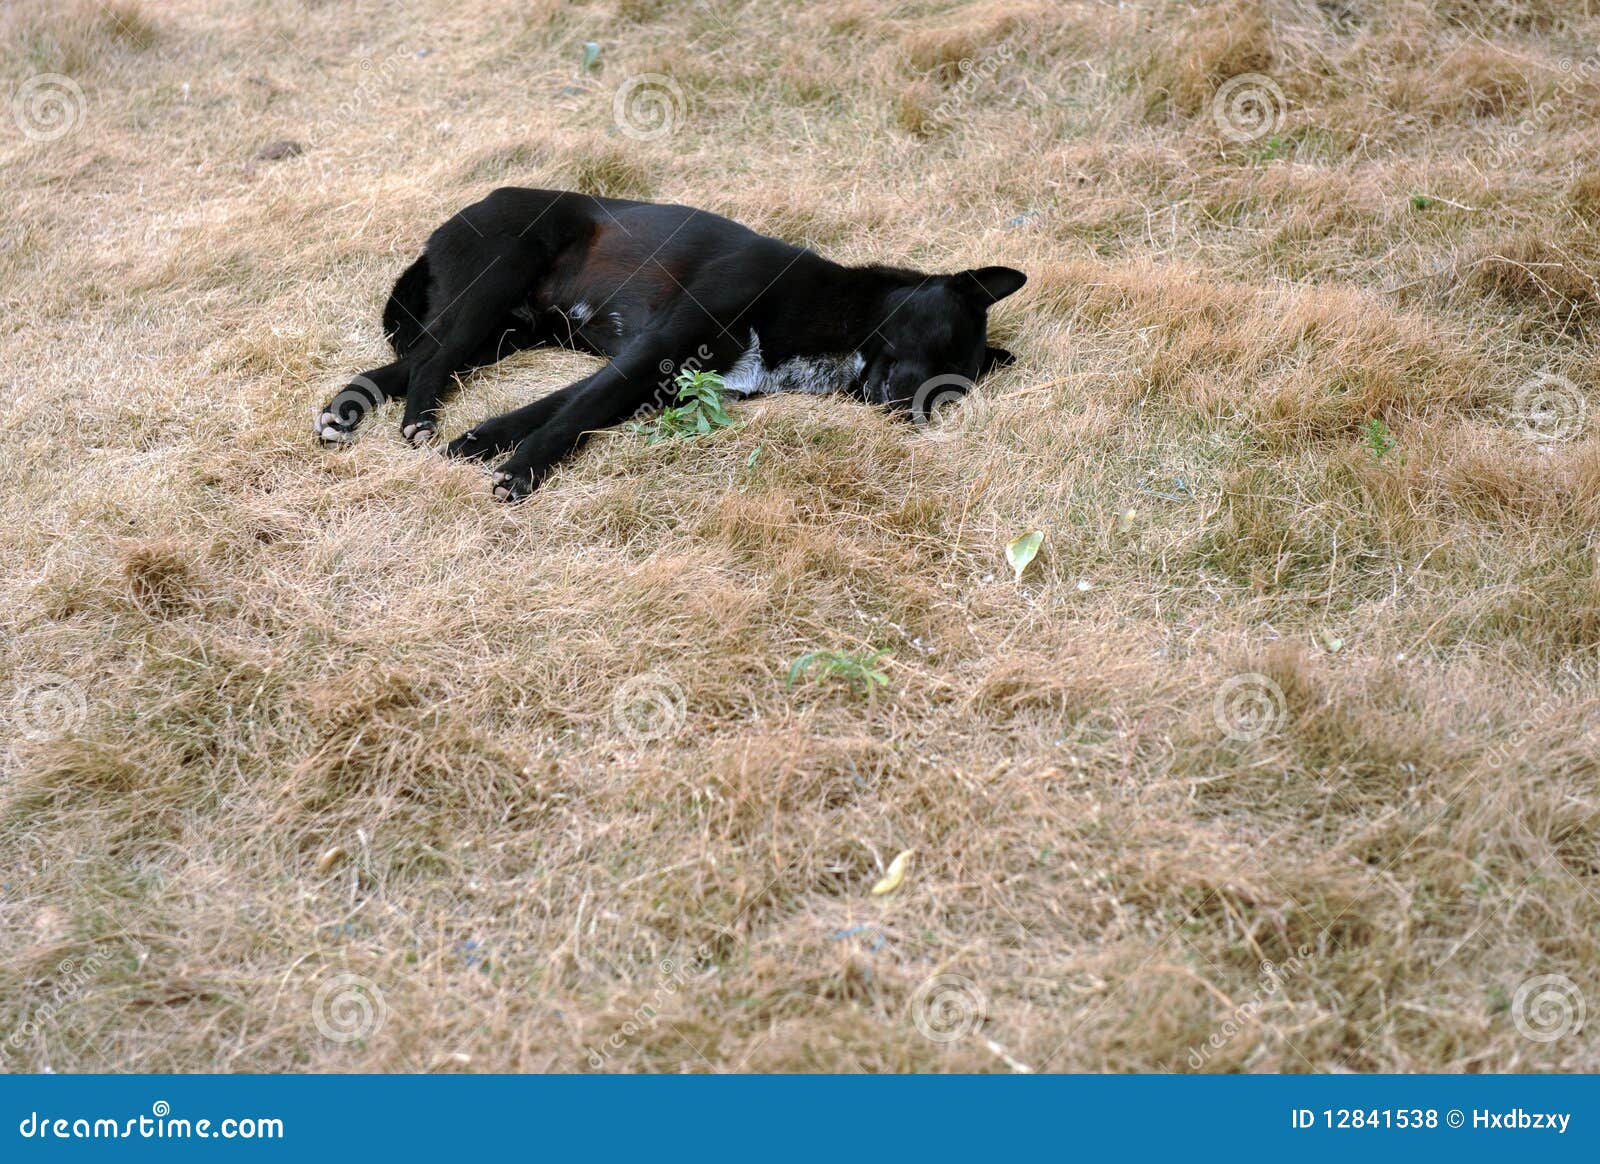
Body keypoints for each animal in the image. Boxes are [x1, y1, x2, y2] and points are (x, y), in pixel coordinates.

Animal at [315, 186, 1024, 498]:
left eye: (954, 390)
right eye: (941, 337)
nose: (912, 410)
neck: (839, 312)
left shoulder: (661, 374)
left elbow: (563, 407)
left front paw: (484, 443)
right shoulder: (654, 349)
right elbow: (575, 413)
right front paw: (520, 471)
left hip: (507, 334)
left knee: (410, 360)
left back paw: (347, 411)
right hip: (496, 283)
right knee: (432, 358)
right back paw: (417, 418)